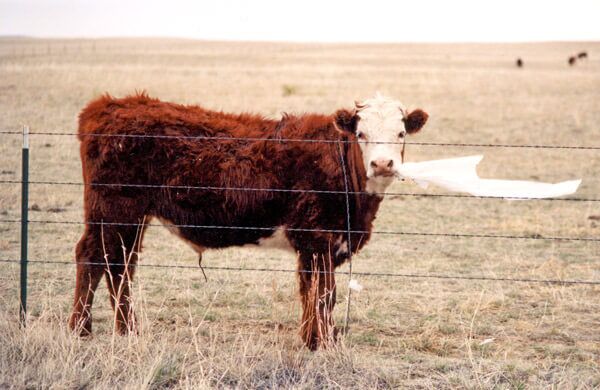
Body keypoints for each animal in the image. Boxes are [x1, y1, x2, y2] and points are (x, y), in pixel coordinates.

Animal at [69, 93, 426, 348]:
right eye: (361, 133)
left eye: (401, 133)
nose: (383, 164)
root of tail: (109, 104)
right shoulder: (317, 238)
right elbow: (324, 293)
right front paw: (321, 341)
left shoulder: (319, 244)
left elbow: (313, 291)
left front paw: (312, 337)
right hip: (113, 211)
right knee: (93, 258)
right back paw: (81, 329)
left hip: (130, 217)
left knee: (120, 264)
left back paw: (127, 330)